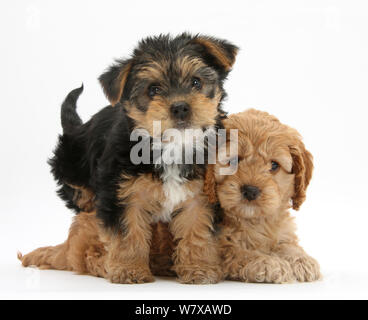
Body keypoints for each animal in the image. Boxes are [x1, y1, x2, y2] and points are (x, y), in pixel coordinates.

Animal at [18, 33, 239, 284]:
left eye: (196, 83)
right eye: (153, 90)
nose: (180, 107)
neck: (170, 146)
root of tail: (78, 129)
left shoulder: (200, 194)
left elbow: (198, 228)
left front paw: (199, 268)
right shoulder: (122, 192)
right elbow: (127, 232)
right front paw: (129, 269)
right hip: (73, 174)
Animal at [206, 109, 320, 282]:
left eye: (274, 165)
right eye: (234, 161)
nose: (250, 190)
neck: (255, 221)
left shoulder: (282, 230)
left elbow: (287, 244)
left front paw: (301, 259)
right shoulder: (224, 248)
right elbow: (242, 254)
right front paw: (270, 263)